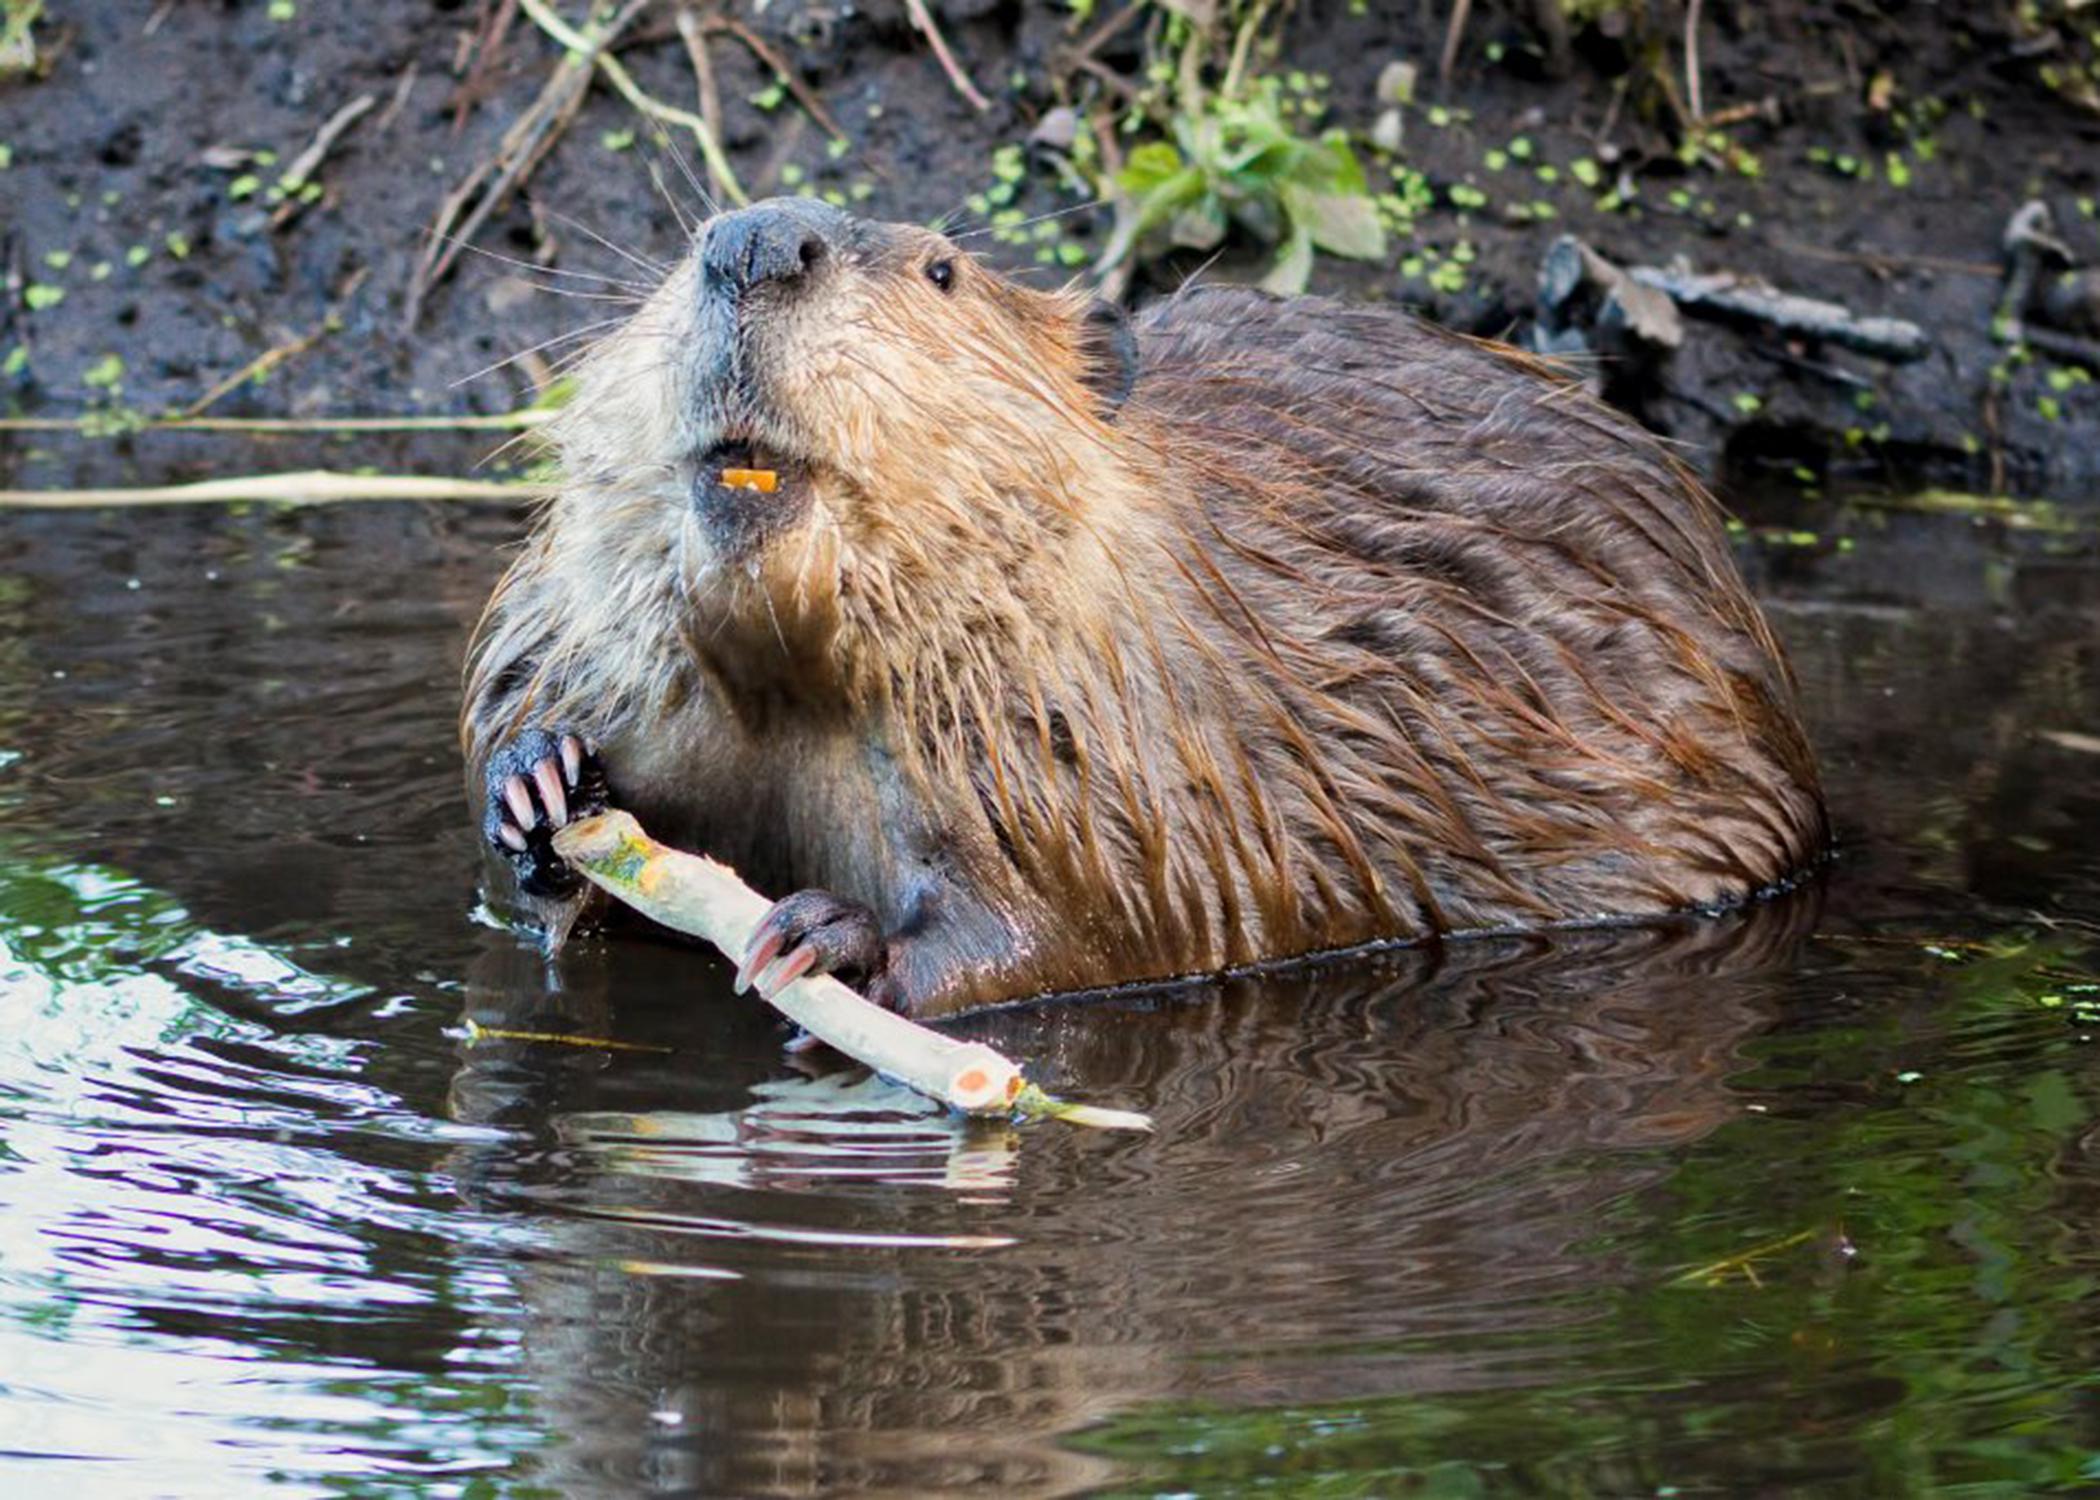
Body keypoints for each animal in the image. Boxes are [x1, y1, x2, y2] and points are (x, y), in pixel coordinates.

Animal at [455, 195, 1822, 1016]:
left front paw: (830, 938)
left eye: (943, 268)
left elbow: (1091, 927)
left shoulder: (1118, 757)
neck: (796, 677)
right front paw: (542, 786)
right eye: (688, 244)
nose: (752, 242)